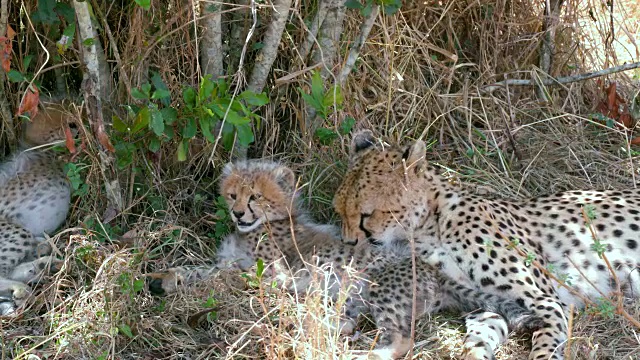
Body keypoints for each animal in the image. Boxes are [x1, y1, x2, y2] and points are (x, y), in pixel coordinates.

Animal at [148, 161, 532, 360]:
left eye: (255, 196)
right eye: (232, 194)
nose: (238, 212)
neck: (263, 226)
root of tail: (431, 269)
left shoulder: (272, 274)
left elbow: (226, 278)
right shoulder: (233, 264)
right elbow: (200, 270)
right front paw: (161, 277)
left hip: (379, 290)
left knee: (399, 339)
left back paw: (360, 354)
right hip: (348, 296)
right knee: (345, 322)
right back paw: (303, 326)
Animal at [332, 129, 640, 360]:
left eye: (367, 215)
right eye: (339, 211)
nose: (348, 243)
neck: (430, 224)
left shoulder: (547, 300)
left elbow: (545, 342)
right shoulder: (485, 304)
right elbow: (479, 339)